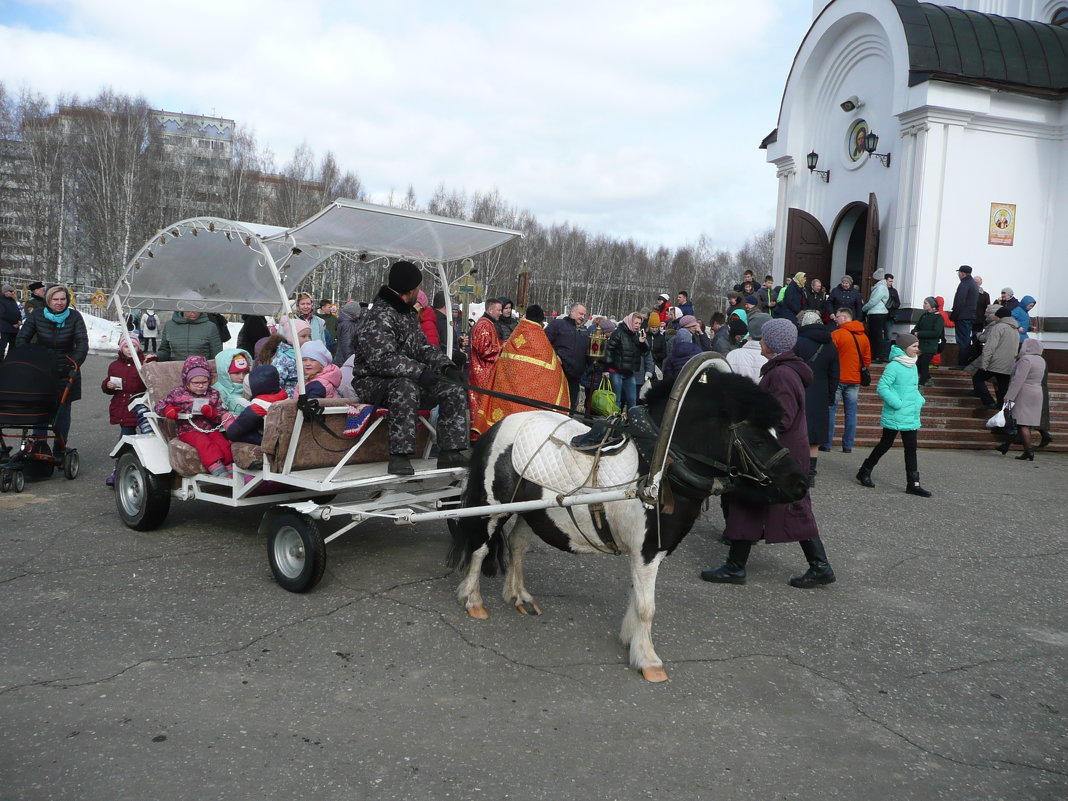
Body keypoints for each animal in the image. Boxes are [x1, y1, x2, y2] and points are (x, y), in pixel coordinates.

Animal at [446, 365, 803, 683]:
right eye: (757, 439)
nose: (800, 482)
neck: (658, 467)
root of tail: (499, 425)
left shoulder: (647, 552)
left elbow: (637, 598)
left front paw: (632, 640)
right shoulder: (646, 551)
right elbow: (647, 606)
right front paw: (649, 660)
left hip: (534, 510)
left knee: (517, 546)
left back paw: (519, 595)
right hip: (494, 508)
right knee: (480, 549)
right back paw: (473, 599)